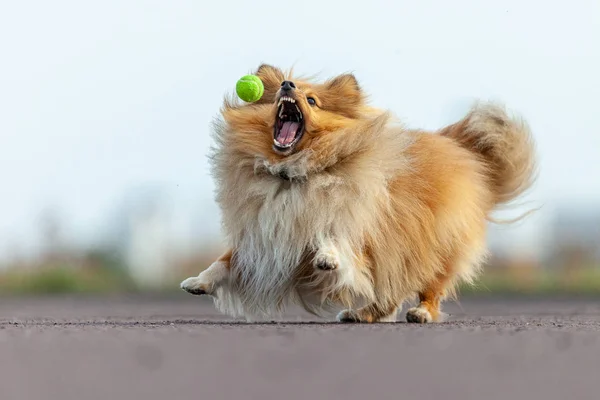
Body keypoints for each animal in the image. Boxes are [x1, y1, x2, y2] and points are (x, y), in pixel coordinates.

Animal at [180, 65, 536, 322]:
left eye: (312, 100)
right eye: (281, 84)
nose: (288, 85)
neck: (293, 174)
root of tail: (462, 150)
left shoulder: (354, 225)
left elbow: (335, 238)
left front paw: (327, 257)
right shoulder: (263, 233)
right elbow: (225, 260)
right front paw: (197, 282)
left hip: (436, 245)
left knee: (432, 285)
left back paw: (420, 312)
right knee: (389, 294)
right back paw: (360, 313)